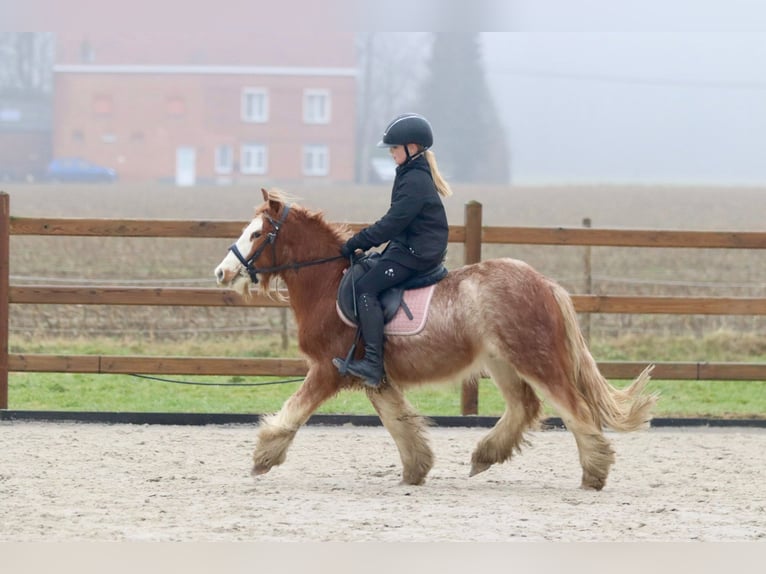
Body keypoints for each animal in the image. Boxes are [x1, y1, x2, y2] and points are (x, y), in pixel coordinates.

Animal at [216, 189, 660, 490]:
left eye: (256, 234)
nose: (222, 273)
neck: (329, 284)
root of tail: (545, 283)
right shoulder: (373, 376)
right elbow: (399, 423)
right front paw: (416, 469)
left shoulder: (328, 370)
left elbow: (293, 411)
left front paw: (263, 457)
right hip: (501, 362)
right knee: (525, 407)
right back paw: (484, 456)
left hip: (535, 359)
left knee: (574, 409)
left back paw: (593, 473)